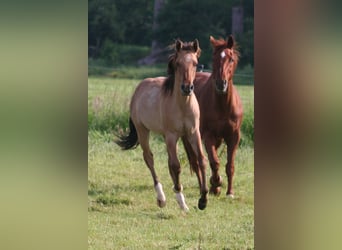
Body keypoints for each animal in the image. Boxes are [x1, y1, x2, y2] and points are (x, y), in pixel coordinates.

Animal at [116, 39, 208, 211]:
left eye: (195, 63)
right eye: (178, 63)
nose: (187, 88)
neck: (182, 106)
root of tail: (139, 88)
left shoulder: (193, 133)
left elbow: (201, 160)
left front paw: (203, 200)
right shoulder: (172, 135)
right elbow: (176, 166)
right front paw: (181, 200)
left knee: (168, 161)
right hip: (143, 131)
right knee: (149, 158)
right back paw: (161, 198)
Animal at [190, 35, 243, 198]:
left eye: (231, 59)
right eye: (214, 58)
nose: (221, 84)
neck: (223, 106)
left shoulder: (234, 136)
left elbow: (230, 165)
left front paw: (229, 192)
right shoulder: (208, 135)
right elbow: (214, 161)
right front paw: (216, 182)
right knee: (197, 161)